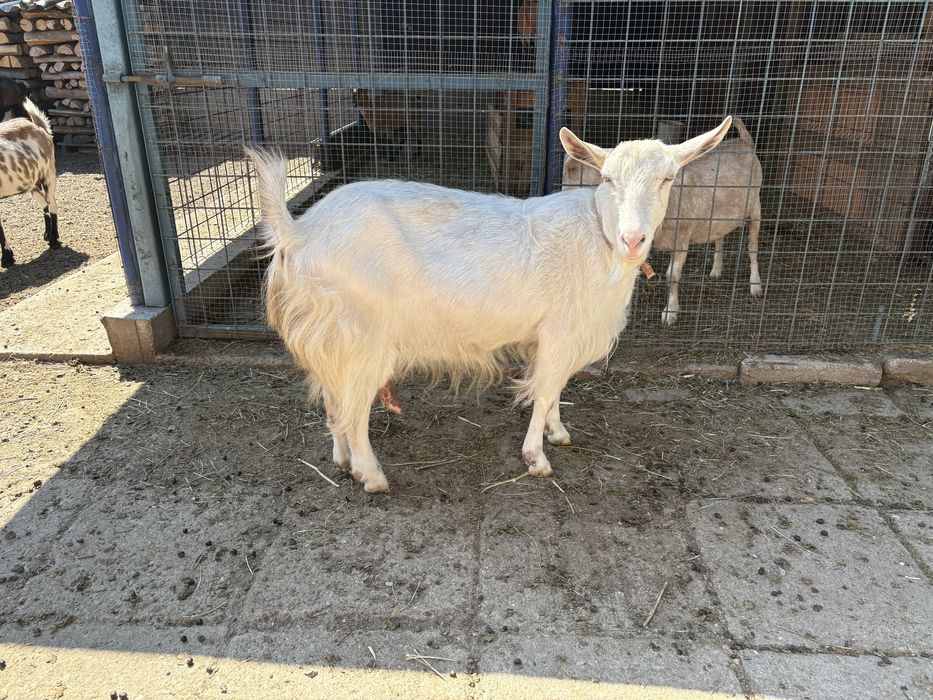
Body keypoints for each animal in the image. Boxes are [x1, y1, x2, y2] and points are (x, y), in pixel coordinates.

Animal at [0, 81, 59, 268]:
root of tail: (38, 125)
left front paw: (7, 259)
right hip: (32, 182)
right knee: (45, 204)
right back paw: (48, 235)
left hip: (49, 173)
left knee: (52, 204)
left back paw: (54, 240)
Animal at [247, 117, 732, 493]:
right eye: (607, 178)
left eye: (667, 178)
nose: (634, 239)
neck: (598, 237)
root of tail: (298, 232)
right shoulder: (560, 331)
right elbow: (544, 390)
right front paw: (536, 457)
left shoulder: (549, 337)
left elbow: (556, 388)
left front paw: (559, 432)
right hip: (363, 334)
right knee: (353, 408)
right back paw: (372, 476)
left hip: (332, 335)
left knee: (335, 399)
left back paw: (344, 462)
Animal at [563, 116, 763, 326]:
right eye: (607, 178)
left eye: (668, 178)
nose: (632, 239)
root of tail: (745, 142)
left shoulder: (682, 237)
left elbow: (672, 276)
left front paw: (671, 311)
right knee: (720, 236)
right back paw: (716, 269)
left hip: (756, 206)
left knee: (752, 246)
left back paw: (755, 285)